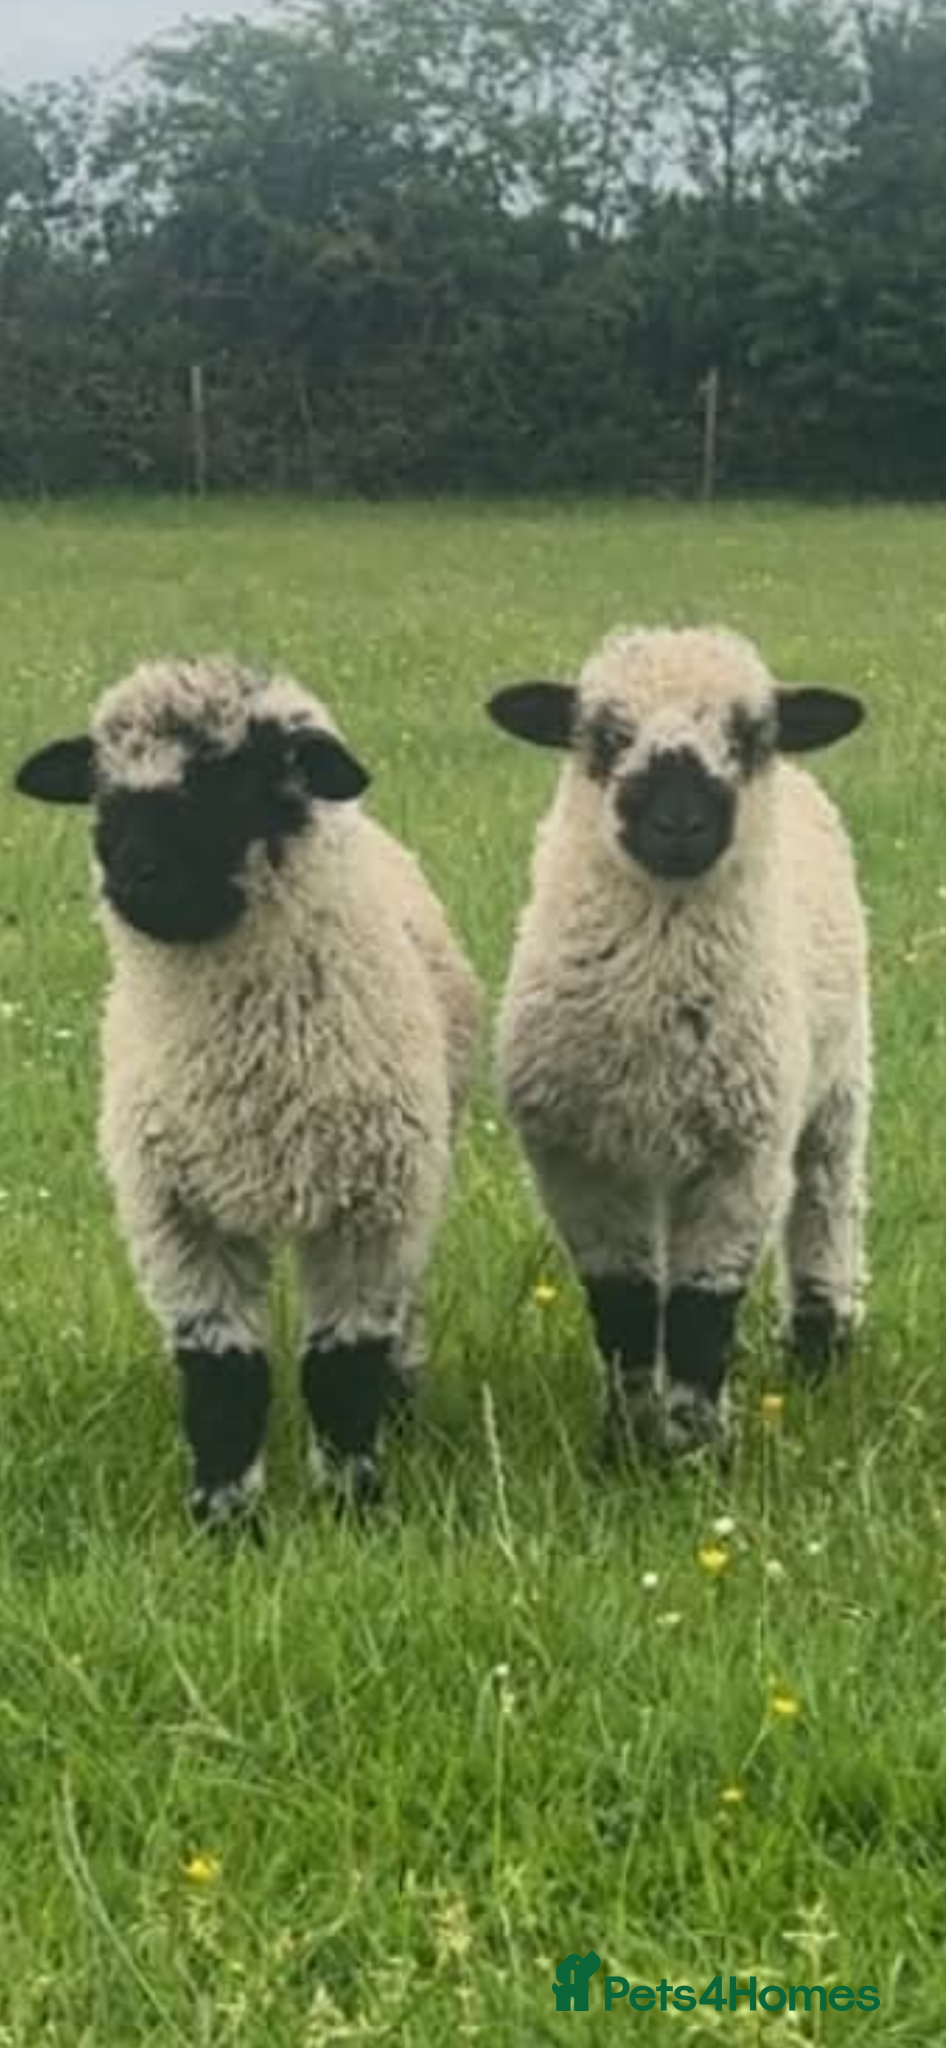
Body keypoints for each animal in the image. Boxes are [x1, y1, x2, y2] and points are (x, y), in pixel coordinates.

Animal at [15, 656, 481, 1527]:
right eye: (104, 792)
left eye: (232, 781)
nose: (134, 876)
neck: (248, 1070)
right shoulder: (178, 1216)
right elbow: (223, 1378)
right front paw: (225, 1520)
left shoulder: (367, 1207)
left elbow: (342, 1367)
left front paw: (353, 1506)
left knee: (401, 1307)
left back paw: (400, 1403)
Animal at [486, 627, 870, 1460]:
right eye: (605, 736)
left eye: (749, 739)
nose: (680, 825)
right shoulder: (581, 1162)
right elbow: (627, 1304)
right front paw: (627, 1444)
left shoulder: (741, 1157)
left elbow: (701, 1310)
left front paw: (696, 1453)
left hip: (840, 1079)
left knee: (827, 1205)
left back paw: (822, 1347)